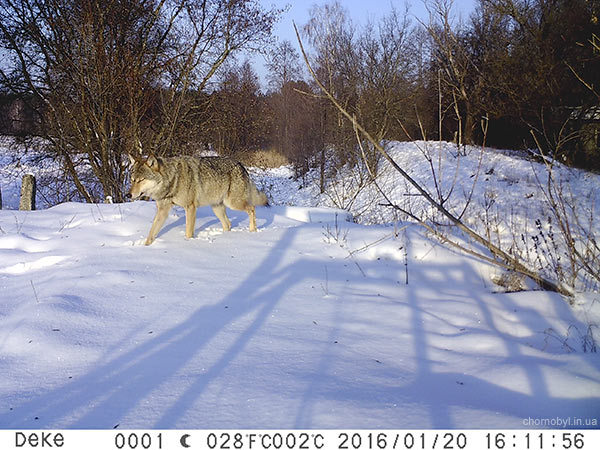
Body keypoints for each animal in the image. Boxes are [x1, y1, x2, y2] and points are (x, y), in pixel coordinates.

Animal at [127, 156, 268, 246]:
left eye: (141, 180)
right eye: (132, 180)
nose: (128, 194)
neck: (172, 180)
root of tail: (241, 165)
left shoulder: (190, 207)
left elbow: (189, 231)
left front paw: (189, 243)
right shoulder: (162, 210)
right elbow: (152, 232)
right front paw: (145, 246)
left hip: (233, 203)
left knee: (252, 208)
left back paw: (252, 231)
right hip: (217, 208)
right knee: (228, 224)